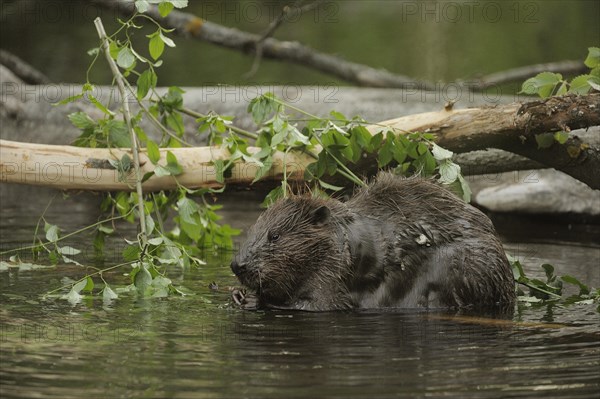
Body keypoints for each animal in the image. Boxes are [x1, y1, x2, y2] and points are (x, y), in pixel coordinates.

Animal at [230, 172, 516, 312]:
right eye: (253, 229)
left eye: (275, 235)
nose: (237, 265)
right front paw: (239, 294)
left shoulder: (333, 272)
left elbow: (322, 305)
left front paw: (248, 299)